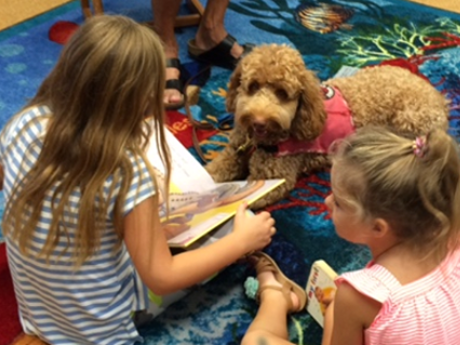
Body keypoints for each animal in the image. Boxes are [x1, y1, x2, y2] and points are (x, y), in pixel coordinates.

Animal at [205, 44, 450, 208]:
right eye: (253, 86)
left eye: (282, 93)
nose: (259, 121)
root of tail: (440, 99)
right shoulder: (232, 154)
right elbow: (211, 173)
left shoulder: (274, 178)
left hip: (409, 121)